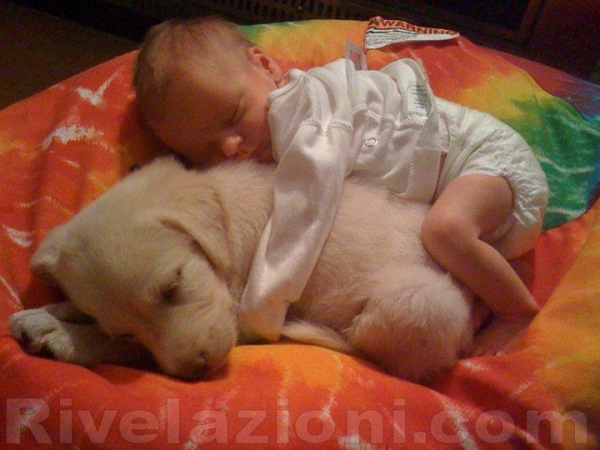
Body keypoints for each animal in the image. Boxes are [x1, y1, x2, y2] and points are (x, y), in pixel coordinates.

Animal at [10, 158, 473, 381]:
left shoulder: (240, 313)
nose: (197, 372)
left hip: (421, 300)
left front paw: (60, 333)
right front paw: (54, 312)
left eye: (174, 286)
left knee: (369, 348)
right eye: (123, 329)